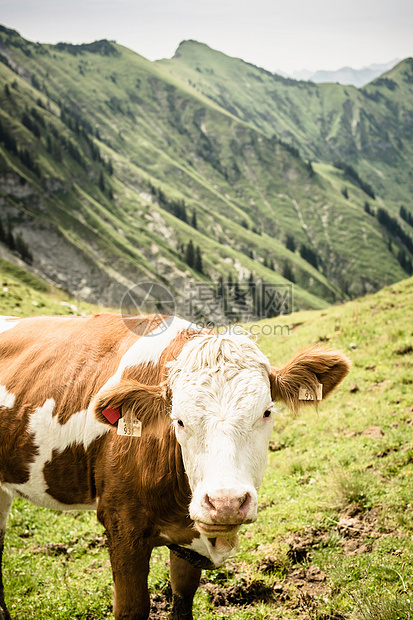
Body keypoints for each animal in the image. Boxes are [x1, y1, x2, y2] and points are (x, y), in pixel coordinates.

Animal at [0, 314, 350, 620]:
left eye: (266, 412)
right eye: (178, 420)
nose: (226, 503)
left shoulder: (188, 539)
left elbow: (182, 599)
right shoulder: (121, 526)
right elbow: (131, 608)